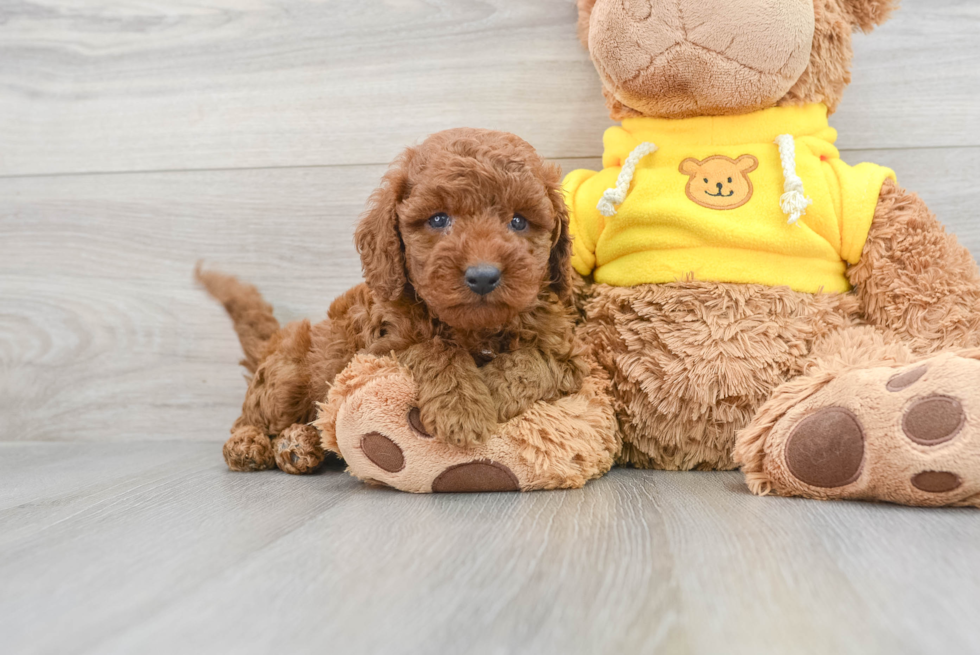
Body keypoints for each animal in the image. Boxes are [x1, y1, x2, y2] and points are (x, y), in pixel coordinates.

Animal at [195, 127, 584, 472]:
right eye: (438, 219)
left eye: (518, 221)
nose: (483, 276)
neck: (475, 328)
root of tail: (273, 342)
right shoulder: (382, 347)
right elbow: (434, 348)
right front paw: (463, 407)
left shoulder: (569, 354)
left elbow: (534, 362)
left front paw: (493, 392)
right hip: (285, 379)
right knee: (250, 418)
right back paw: (249, 445)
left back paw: (299, 445)